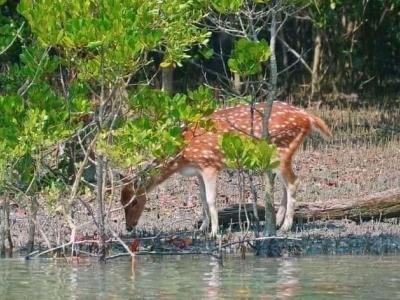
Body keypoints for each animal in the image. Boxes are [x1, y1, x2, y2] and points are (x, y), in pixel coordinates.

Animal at [121, 102, 332, 236]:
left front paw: (214, 232)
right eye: (121, 201)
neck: (182, 156)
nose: (129, 227)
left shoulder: (210, 164)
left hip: (281, 150)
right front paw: (202, 228)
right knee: (284, 184)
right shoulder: (197, 171)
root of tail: (308, 117)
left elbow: (211, 199)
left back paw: (286, 226)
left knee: (294, 182)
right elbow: (201, 199)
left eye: (134, 202)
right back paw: (278, 220)